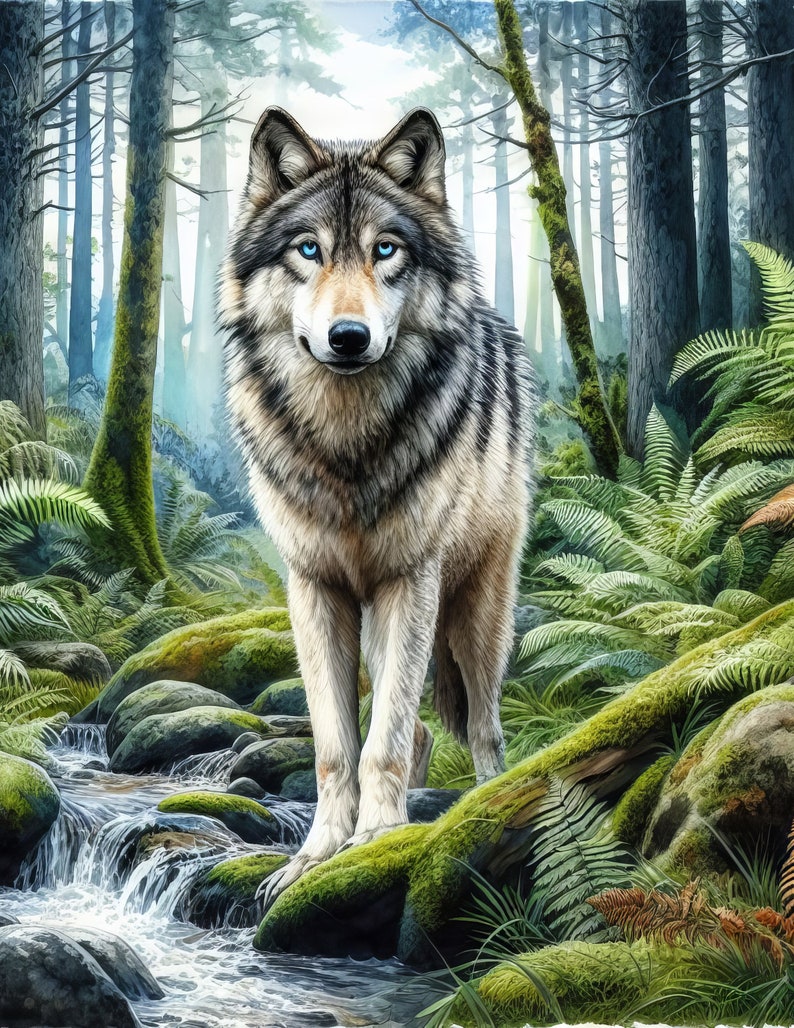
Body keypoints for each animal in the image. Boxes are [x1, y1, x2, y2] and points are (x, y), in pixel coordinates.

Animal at [219, 106, 534, 903]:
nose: (349, 337)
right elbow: (337, 746)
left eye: (384, 249)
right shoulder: (314, 587)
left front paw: (376, 843)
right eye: (309, 250)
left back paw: (488, 803)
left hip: (477, 614)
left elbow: (382, 738)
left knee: (482, 728)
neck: (345, 445)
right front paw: (316, 856)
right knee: (421, 729)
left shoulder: (409, 580)